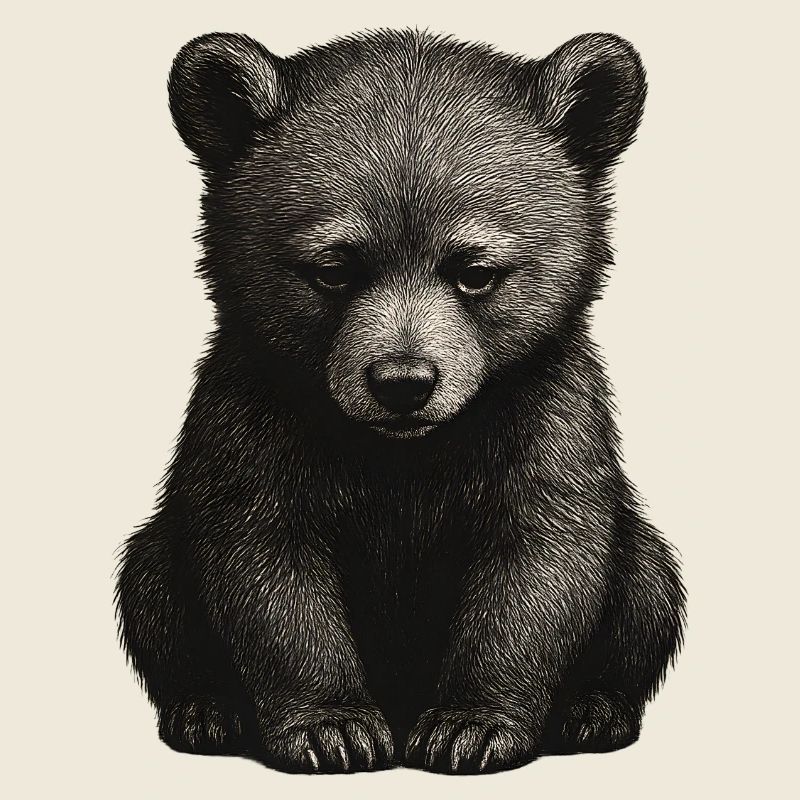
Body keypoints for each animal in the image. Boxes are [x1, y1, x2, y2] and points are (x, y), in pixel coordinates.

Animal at [115, 28, 686, 775]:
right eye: (334, 267)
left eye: (475, 271)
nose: (403, 382)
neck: (403, 454)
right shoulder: (251, 419)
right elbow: (267, 569)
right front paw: (332, 727)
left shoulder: (548, 417)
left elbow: (539, 566)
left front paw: (471, 726)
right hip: (164, 549)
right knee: (151, 587)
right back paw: (206, 712)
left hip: (637, 553)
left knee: (648, 588)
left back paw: (592, 711)